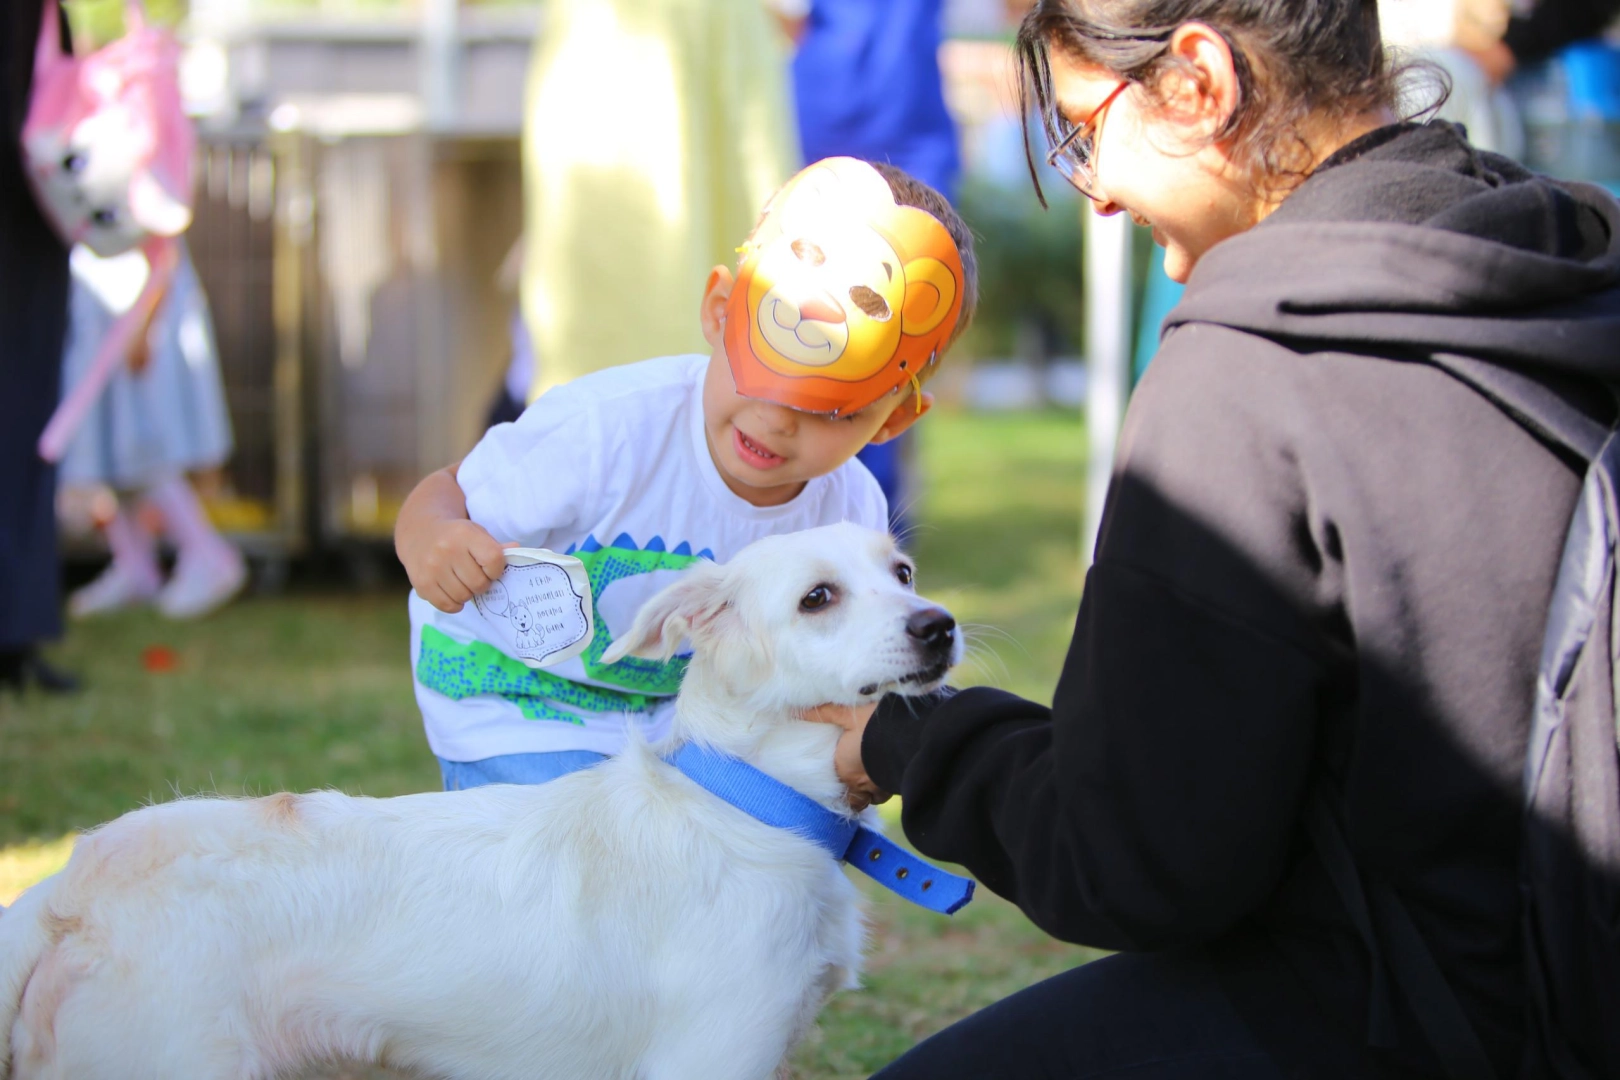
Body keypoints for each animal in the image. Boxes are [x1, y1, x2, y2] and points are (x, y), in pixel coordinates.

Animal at [0, 524, 959, 1080]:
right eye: (818, 598)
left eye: (905, 572)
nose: (940, 624)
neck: (747, 807)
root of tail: (70, 889)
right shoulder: (711, 1057)